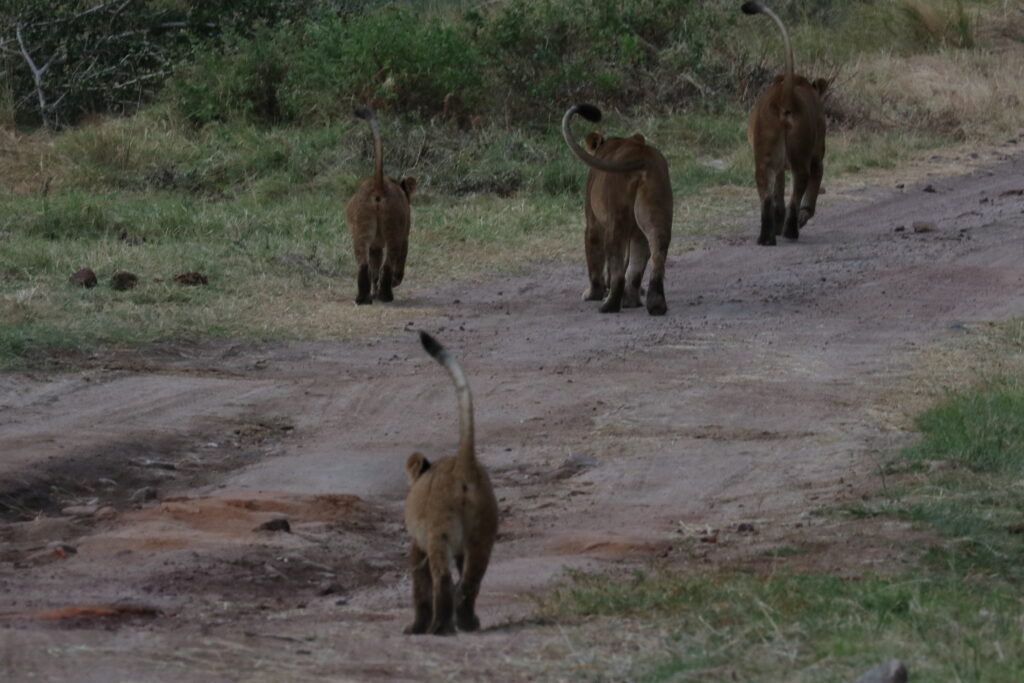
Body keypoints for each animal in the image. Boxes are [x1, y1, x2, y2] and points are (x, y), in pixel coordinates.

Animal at [346, 105, 417, 303]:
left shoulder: (376, 244)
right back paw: (386, 295)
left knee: (364, 264)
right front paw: (395, 282)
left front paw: (374, 291)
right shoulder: (405, 234)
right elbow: (400, 260)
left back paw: (364, 298)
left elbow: (374, 266)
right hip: (394, 230)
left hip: (360, 230)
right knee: (389, 263)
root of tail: (379, 185)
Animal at [401, 331, 497, 634]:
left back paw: (438, 628)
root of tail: (463, 468)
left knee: (442, 578)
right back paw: (467, 622)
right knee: (470, 582)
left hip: (438, 530)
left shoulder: (417, 547)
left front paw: (415, 627)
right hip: (482, 533)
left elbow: (420, 588)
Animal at [741, 0, 827, 245]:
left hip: (764, 154)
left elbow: (777, 194)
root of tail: (786, 95)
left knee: (766, 196)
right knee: (799, 188)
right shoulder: (818, 156)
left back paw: (766, 238)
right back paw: (791, 230)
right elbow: (812, 192)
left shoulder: (778, 165)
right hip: (801, 154)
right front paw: (803, 217)